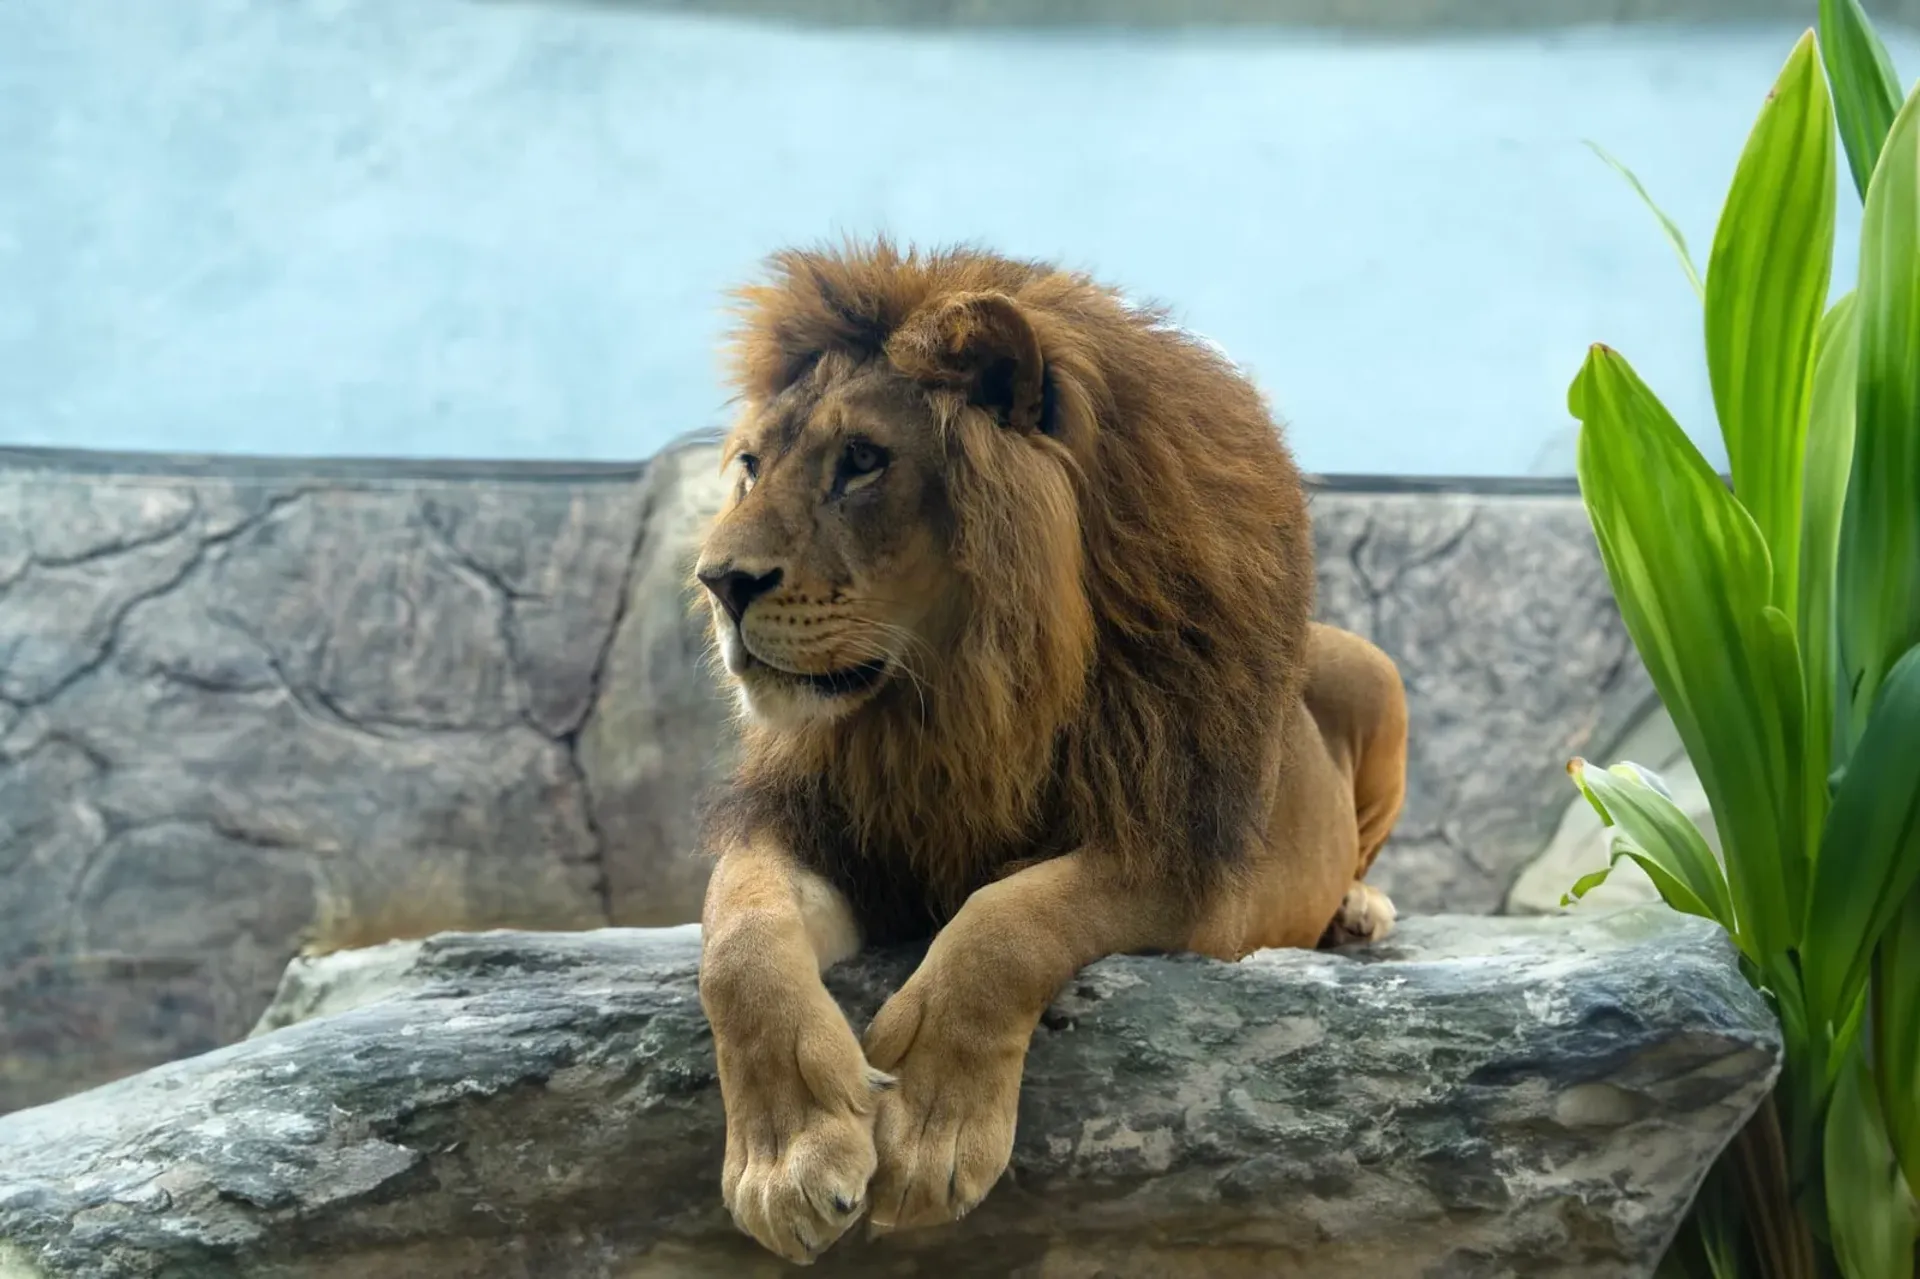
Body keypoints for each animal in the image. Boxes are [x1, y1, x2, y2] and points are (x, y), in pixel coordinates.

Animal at [691, 238, 1408, 1264]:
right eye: (752, 465)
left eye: (861, 461)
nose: (717, 582)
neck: (962, 698)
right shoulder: (834, 830)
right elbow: (738, 938)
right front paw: (784, 1155)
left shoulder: (1188, 871)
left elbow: (1008, 917)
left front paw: (932, 1125)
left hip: (1371, 668)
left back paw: (1358, 909)